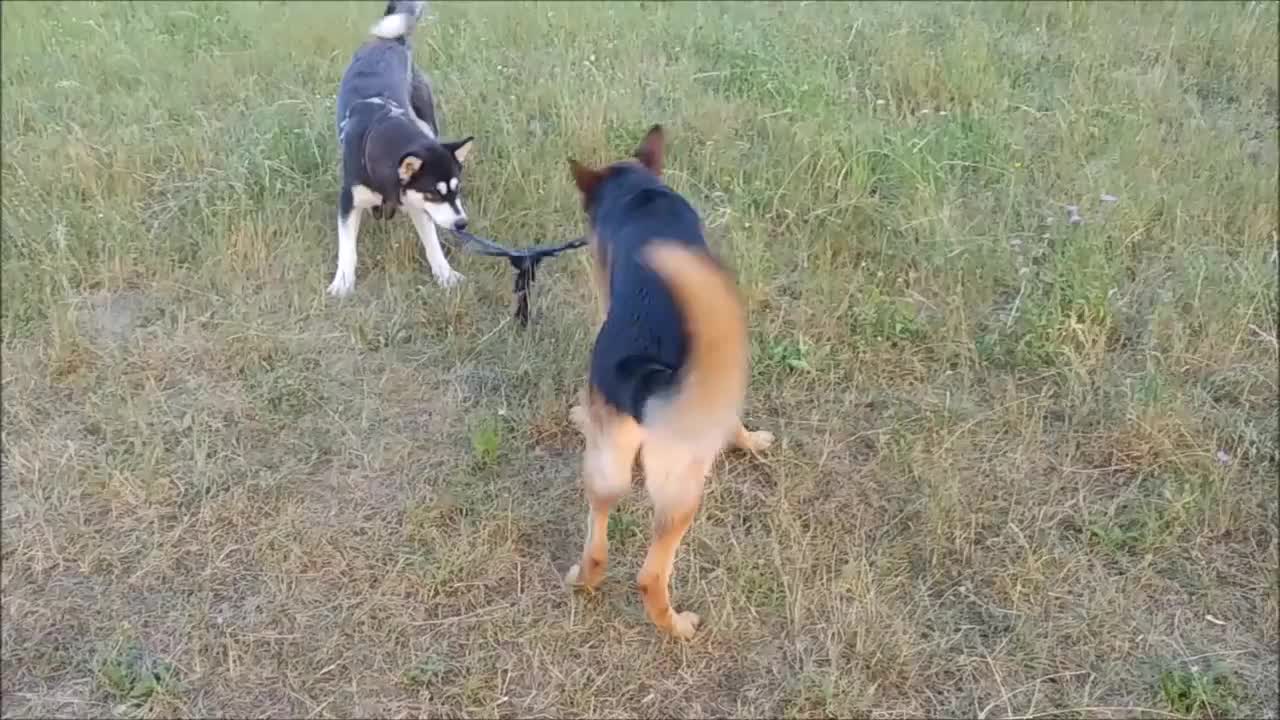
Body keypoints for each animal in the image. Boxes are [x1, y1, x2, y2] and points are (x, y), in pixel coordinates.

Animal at [327, 0, 473, 297]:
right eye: (433, 193)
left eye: (457, 189)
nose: (462, 224)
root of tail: (390, 41)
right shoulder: (349, 199)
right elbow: (347, 249)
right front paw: (343, 283)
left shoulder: (416, 203)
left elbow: (432, 244)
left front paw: (446, 275)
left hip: (428, 120)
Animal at [565, 124, 773, 638]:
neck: (639, 194)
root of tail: (644, 382)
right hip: (682, 491)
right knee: (650, 576)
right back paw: (677, 628)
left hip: (607, 473)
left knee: (598, 549)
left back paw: (583, 582)